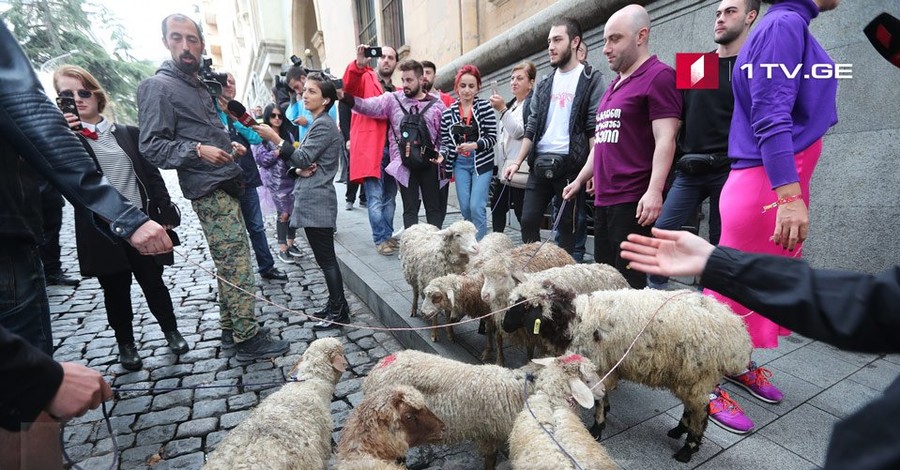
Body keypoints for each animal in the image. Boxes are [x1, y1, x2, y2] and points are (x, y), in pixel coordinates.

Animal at [502, 286, 748, 462]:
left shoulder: (599, 364)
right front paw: (606, 412)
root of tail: (737, 336)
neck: (574, 319)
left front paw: (597, 428)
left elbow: (599, 400)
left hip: (699, 374)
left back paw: (688, 449)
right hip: (688, 376)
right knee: (691, 407)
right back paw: (678, 430)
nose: (503, 326)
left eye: (521, 308)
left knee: (702, 412)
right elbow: (603, 395)